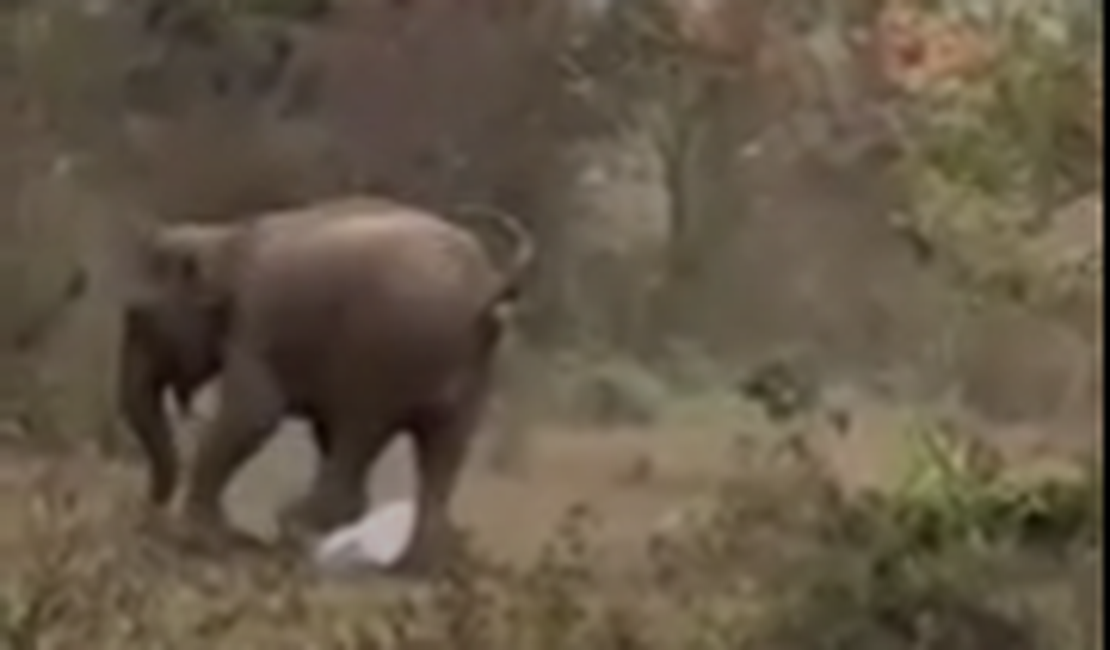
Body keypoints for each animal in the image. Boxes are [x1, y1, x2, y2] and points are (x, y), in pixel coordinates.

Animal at [117, 196, 533, 571]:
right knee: (441, 453)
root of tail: (487, 284)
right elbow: (314, 428)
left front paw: (198, 534)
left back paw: (293, 524)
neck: (226, 238)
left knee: (361, 429)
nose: (148, 508)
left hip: (384, 352)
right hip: (476, 371)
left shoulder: (258, 325)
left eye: (137, 316)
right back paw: (416, 567)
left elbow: (255, 415)